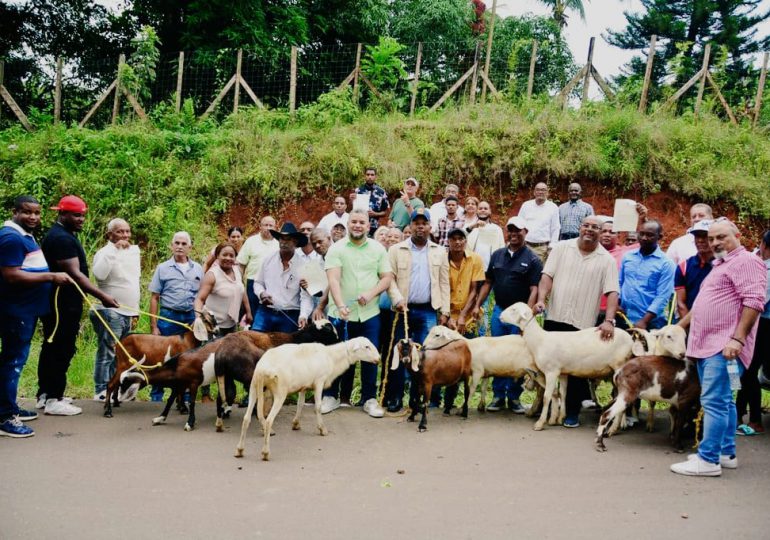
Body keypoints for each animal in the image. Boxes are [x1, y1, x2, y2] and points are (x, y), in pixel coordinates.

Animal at [232, 338, 380, 460]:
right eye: (367, 346)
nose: (379, 359)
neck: (332, 357)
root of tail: (263, 369)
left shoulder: (304, 386)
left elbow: (300, 404)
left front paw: (296, 424)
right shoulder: (319, 381)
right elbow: (318, 407)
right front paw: (322, 429)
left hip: (254, 387)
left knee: (246, 419)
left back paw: (239, 450)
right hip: (280, 392)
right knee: (268, 421)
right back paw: (265, 453)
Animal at [496, 304, 632, 430]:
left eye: (514, 309)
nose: (500, 316)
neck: (539, 340)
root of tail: (630, 339)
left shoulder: (551, 371)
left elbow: (547, 397)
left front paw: (540, 423)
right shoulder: (563, 372)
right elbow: (563, 393)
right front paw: (559, 418)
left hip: (620, 366)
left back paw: (615, 427)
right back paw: (619, 424)